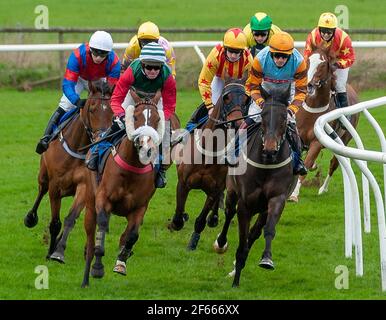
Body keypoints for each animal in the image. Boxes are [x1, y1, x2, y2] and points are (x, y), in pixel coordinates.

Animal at [24, 80, 113, 262]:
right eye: (92, 109)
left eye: (112, 111)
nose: (102, 138)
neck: (78, 147)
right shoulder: (55, 187)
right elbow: (55, 222)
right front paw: (51, 252)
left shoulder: (84, 185)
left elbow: (71, 218)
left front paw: (58, 250)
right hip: (44, 175)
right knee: (41, 190)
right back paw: (30, 218)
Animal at [80, 90, 165, 288]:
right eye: (135, 116)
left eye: (157, 118)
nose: (146, 145)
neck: (132, 168)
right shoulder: (103, 199)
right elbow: (102, 226)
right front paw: (98, 267)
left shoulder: (140, 207)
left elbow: (132, 235)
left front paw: (121, 262)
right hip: (90, 204)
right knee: (90, 239)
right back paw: (85, 278)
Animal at [167, 74, 249, 251]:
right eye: (226, 97)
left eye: (246, 99)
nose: (237, 123)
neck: (208, 152)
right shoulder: (183, 183)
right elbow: (177, 217)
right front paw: (176, 222)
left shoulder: (214, 189)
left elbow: (201, 220)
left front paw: (192, 243)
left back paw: (214, 217)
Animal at [219, 83, 298, 288]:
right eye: (262, 115)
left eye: (284, 117)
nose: (270, 149)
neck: (266, 164)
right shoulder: (245, 204)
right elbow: (241, 235)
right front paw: (236, 280)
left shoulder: (277, 200)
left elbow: (267, 230)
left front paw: (266, 259)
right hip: (232, 191)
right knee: (229, 212)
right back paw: (221, 243)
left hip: (262, 208)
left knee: (254, 232)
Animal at [290, 47, 358, 202]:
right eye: (308, 61)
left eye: (322, 64)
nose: (308, 84)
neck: (313, 108)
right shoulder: (298, 136)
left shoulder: (317, 142)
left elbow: (307, 163)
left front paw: (294, 194)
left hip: (344, 139)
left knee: (334, 164)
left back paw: (323, 188)